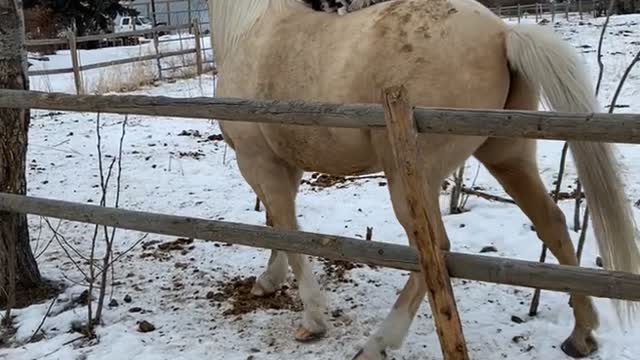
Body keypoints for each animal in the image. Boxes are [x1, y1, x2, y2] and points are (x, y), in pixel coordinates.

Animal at [206, 0, 640, 358]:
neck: (248, 29)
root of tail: (502, 32)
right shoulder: (282, 166)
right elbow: (276, 225)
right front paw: (269, 280)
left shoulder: (258, 161)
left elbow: (288, 233)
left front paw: (312, 320)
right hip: (508, 156)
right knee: (552, 223)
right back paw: (581, 334)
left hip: (411, 181)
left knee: (436, 248)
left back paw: (378, 343)